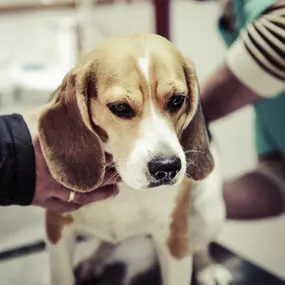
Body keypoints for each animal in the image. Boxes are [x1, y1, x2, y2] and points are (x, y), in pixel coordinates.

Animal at [25, 33, 231, 284]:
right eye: (120, 107)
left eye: (177, 100)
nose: (167, 167)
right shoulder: (57, 229)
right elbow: (63, 275)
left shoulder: (173, 238)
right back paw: (95, 260)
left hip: (210, 213)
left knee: (199, 245)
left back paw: (207, 268)